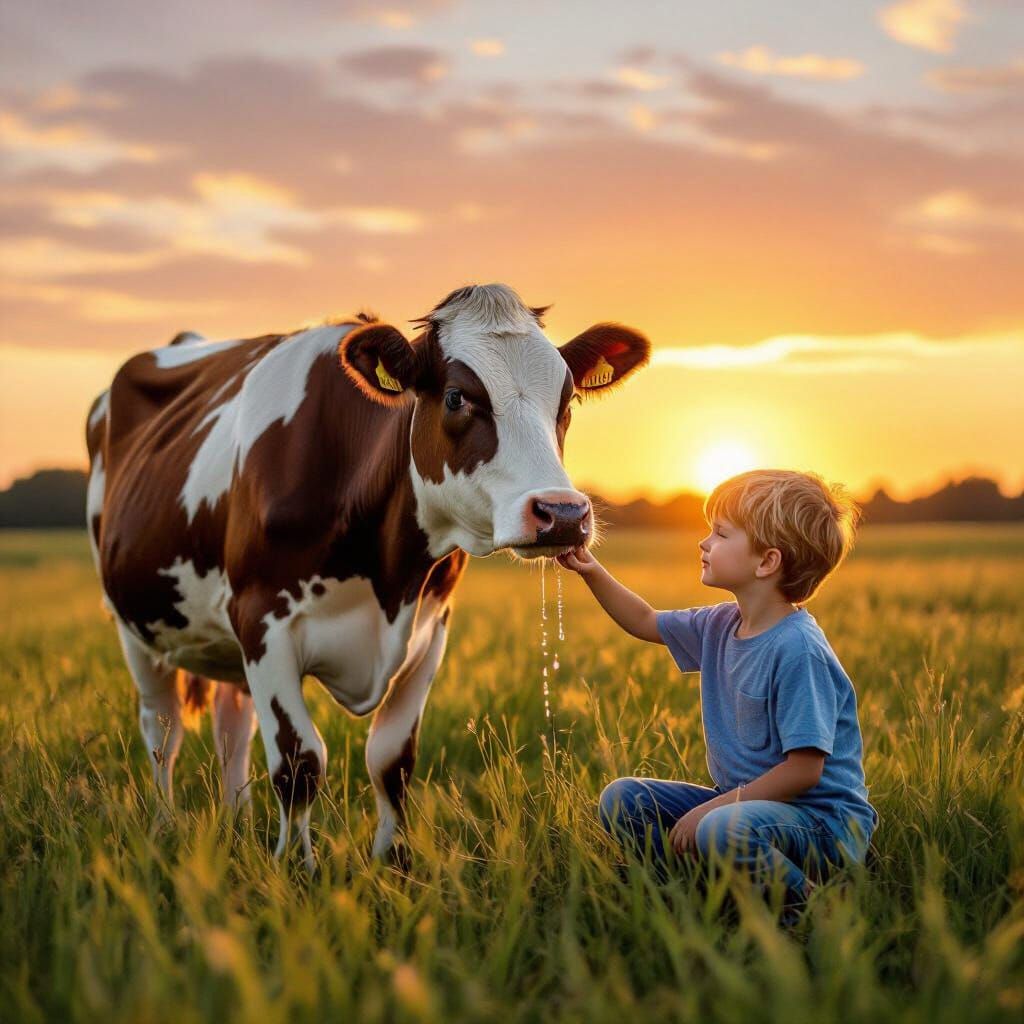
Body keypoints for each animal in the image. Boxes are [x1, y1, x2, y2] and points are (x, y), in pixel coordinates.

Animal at [85, 283, 649, 871]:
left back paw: (236, 824)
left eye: (566, 402)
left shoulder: (429, 629)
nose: (562, 514)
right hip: (133, 627)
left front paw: (393, 864)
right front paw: (296, 869)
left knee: (231, 729)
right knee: (162, 731)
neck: (387, 576)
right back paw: (163, 828)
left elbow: (391, 759)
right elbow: (299, 761)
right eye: (456, 397)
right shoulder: (262, 620)